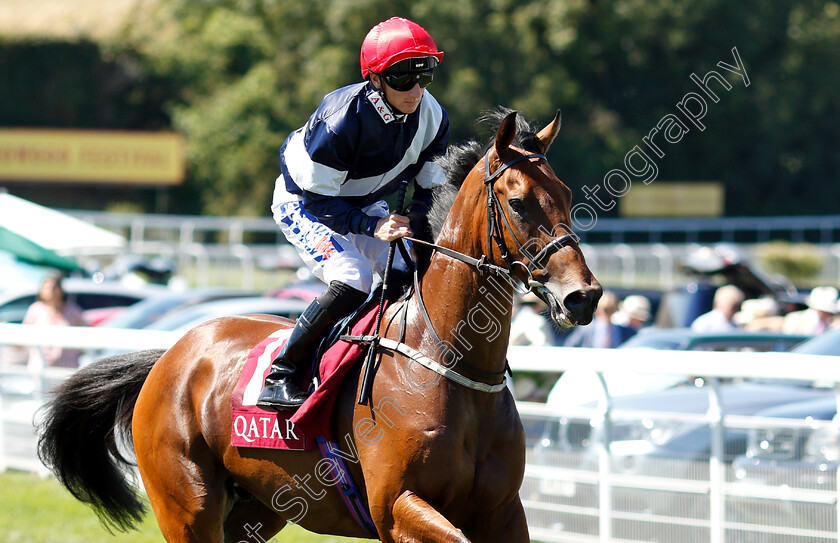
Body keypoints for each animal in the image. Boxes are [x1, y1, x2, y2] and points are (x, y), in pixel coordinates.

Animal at [39, 108, 600, 540]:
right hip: (187, 505)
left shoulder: (503, 512)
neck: (450, 363)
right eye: (518, 202)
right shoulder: (397, 508)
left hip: (259, 506)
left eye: (566, 194)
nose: (584, 296)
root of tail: (170, 356)